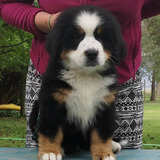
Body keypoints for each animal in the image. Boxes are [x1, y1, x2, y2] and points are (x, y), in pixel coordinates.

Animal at [28, 5, 126, 160]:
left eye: (102, 37)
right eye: (76, 37)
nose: (92, 53)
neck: (85, 75)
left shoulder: (105, 104)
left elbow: (102, 134)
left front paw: (104, 153)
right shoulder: (52, 103)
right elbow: (51, 131)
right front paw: (50, 152)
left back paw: (113, 145)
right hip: (35, 111)